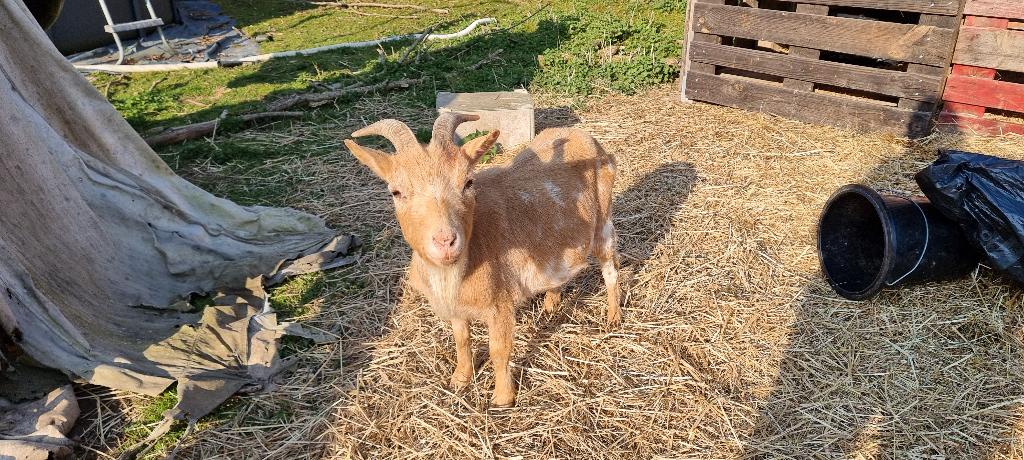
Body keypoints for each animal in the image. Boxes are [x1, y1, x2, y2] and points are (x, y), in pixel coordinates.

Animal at [344, 113, 620, 406]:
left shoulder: (500, 303)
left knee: (610, 269)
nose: (445, 241)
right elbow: (462, 340)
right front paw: (459, 380)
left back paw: (613, 317)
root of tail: (584, 136)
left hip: (603, 219)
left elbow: (499, 350)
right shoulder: (455, 307)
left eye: (467, 182)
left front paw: (502, 399)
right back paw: (550, 305)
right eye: (395, 192)